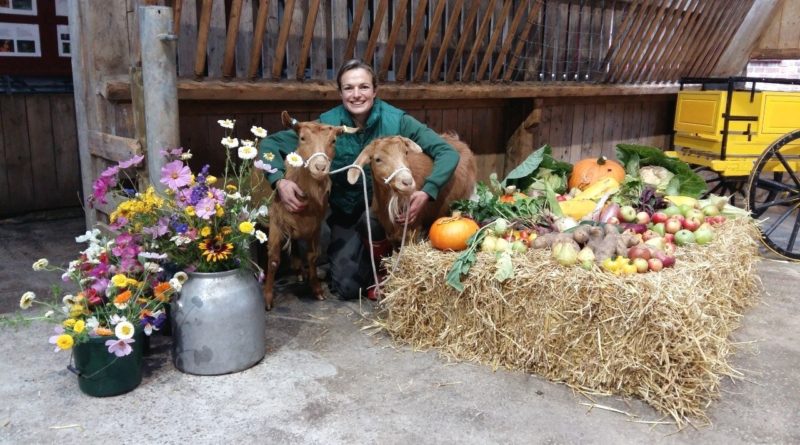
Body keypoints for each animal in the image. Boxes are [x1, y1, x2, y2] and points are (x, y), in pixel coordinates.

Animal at [264, 110, 358, 308]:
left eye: (334, 141)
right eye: (302, 138)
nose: (320, 167)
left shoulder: (315, 226)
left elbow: (312, 256)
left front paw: (317, 289)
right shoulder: (276, 224)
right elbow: (274, 260)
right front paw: (268, 298)